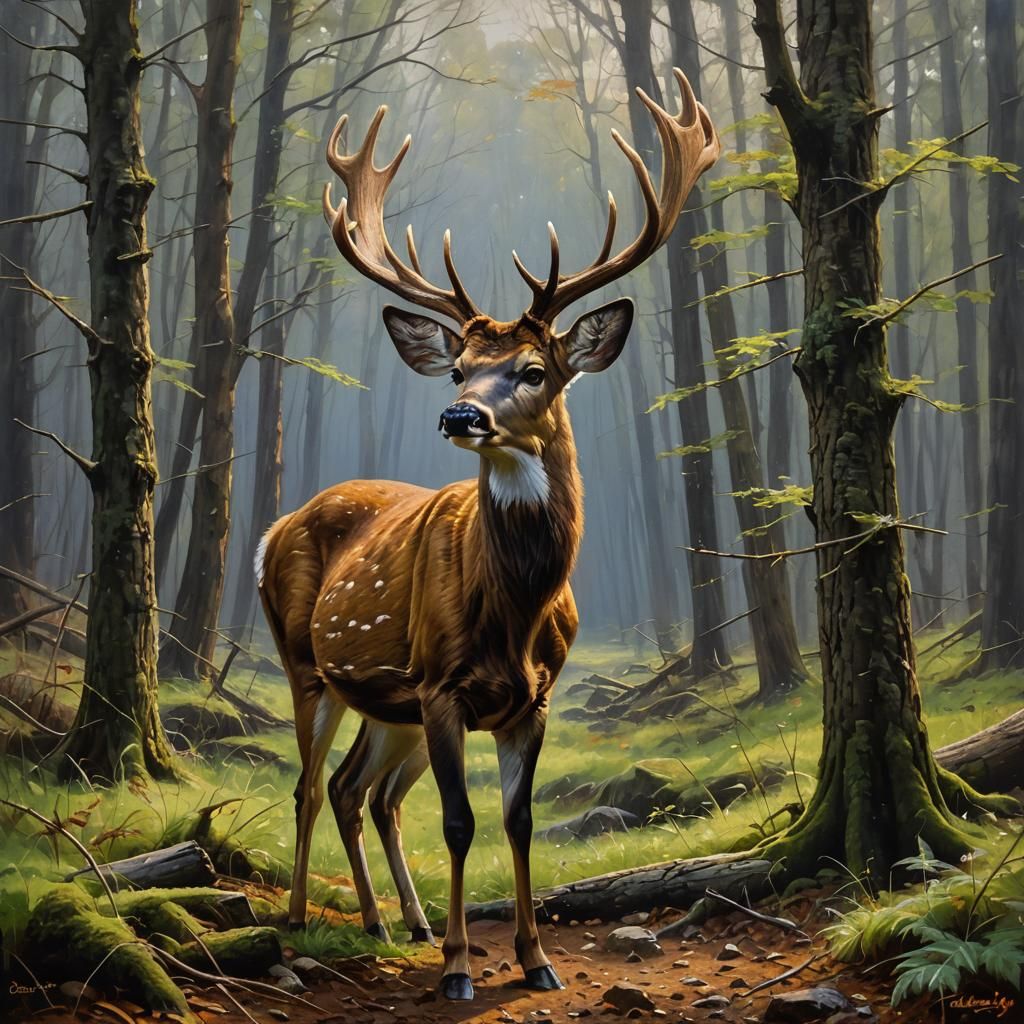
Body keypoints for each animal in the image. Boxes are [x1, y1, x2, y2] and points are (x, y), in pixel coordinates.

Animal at [255, 68, 718, 1002]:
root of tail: (273, 528)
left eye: (535, 370)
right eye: (461, 369)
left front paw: (535, 959)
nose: (459, 414)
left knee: (361, 791)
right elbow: (463, 822)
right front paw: (463, 968)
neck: (512, 614)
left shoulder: (532, 696)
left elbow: (520, 817)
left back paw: (393, 919)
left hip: (384, 701)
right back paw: (296, 919)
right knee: (310, 789)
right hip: (306, 663)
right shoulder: (442, 685)